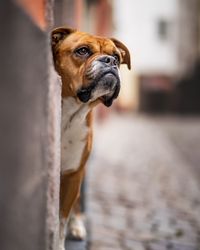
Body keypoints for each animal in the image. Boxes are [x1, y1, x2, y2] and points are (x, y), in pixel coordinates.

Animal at [50, 26, 130, 249]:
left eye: (116, 56)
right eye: (83, 51)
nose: (110, 61)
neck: (70, 114)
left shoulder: (73, 174)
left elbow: (62, 218)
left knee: (77, 204)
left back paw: (77, 226)